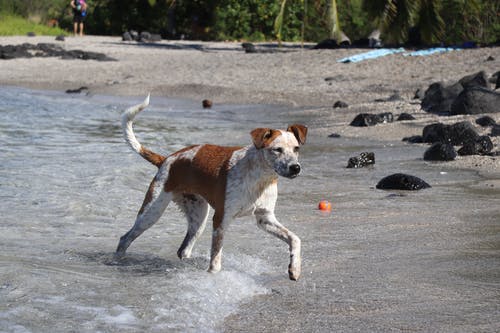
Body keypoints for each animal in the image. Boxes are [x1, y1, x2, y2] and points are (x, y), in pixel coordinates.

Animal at [115, 94, 306, 278]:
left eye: (296, 148)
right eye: (277, 149)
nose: (295, 168)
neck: (260, 177)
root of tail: (167, 159)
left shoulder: (265, 218)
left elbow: (295, 239)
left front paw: (295, 268)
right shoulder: (221, 219)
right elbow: (215, 261)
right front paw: (214, 276)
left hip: (198, 217)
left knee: (183, 250)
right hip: (152, 212)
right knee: (125, 238)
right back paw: (118, 261)